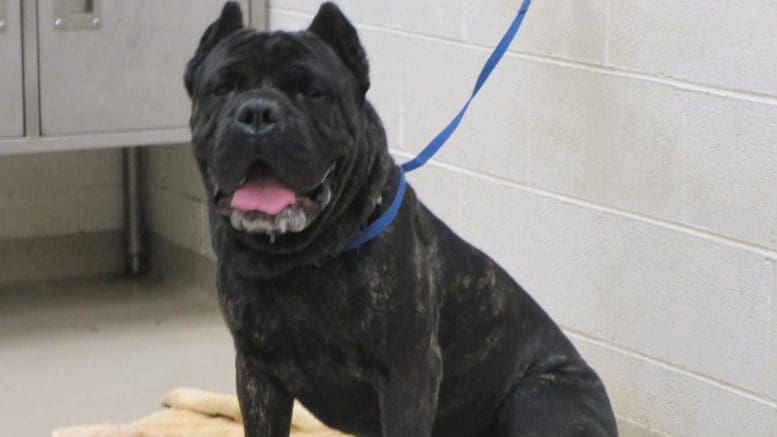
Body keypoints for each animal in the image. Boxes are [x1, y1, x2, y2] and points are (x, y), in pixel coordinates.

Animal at [183, 3, 620, 436]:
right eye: (222, 89)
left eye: (311, 91)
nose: (258, 111)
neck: (299, 259)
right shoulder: (258, 374)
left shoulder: (409, 375)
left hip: (536, 398)